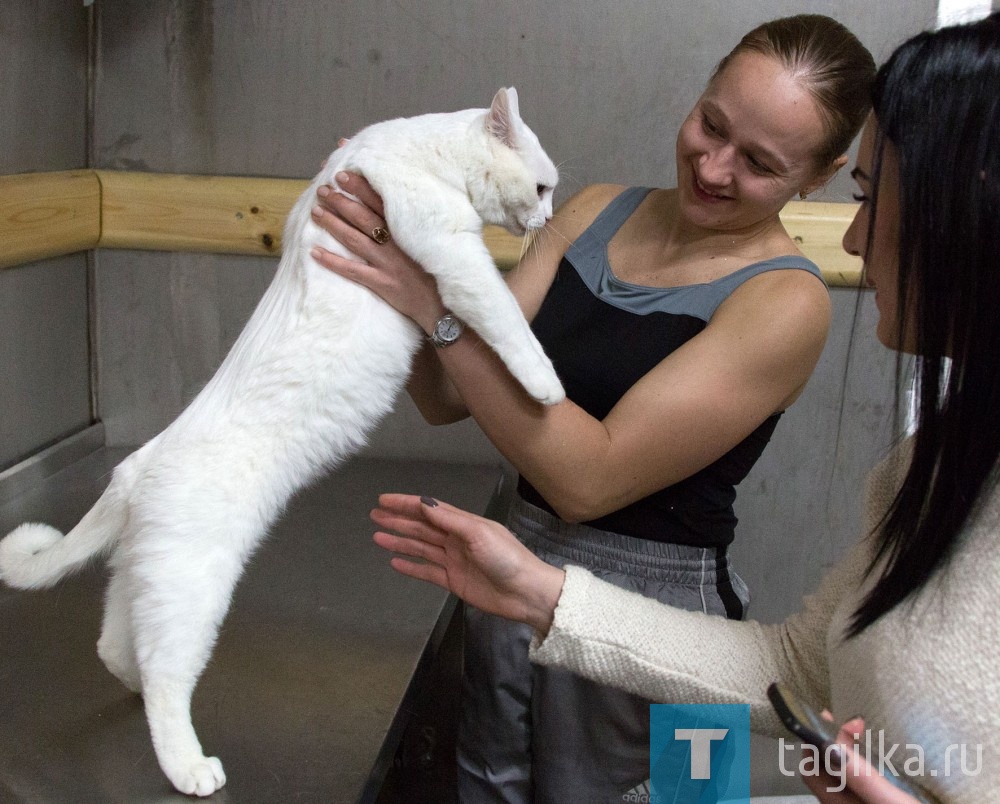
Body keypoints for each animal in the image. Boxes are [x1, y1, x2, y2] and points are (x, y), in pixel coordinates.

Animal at [0, 89, 564, 796]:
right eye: (541, 187)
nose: (549, 217)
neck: (420, 148)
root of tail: (134, 467)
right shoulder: (456, 257)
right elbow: (508, 323)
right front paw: (548, 389)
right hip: (193, 587)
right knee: (165, 674)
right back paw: (188, 767)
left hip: (147, 576)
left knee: (116, 646)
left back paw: (133, 690)